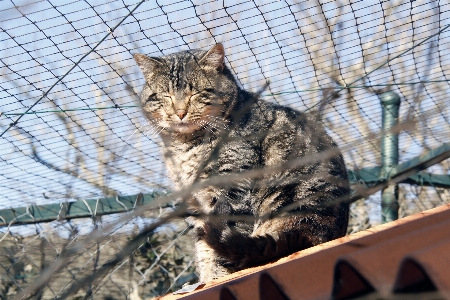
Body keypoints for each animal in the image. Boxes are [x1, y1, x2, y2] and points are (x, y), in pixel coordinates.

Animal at [132, 43, 350, 282]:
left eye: (197, 93)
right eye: (165, 95)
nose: (180, 112)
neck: (186, 147)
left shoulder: (232, 187)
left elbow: (222, 241)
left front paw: (218, 276)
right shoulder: (194, 200)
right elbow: (203, 245)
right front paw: (206, 280)